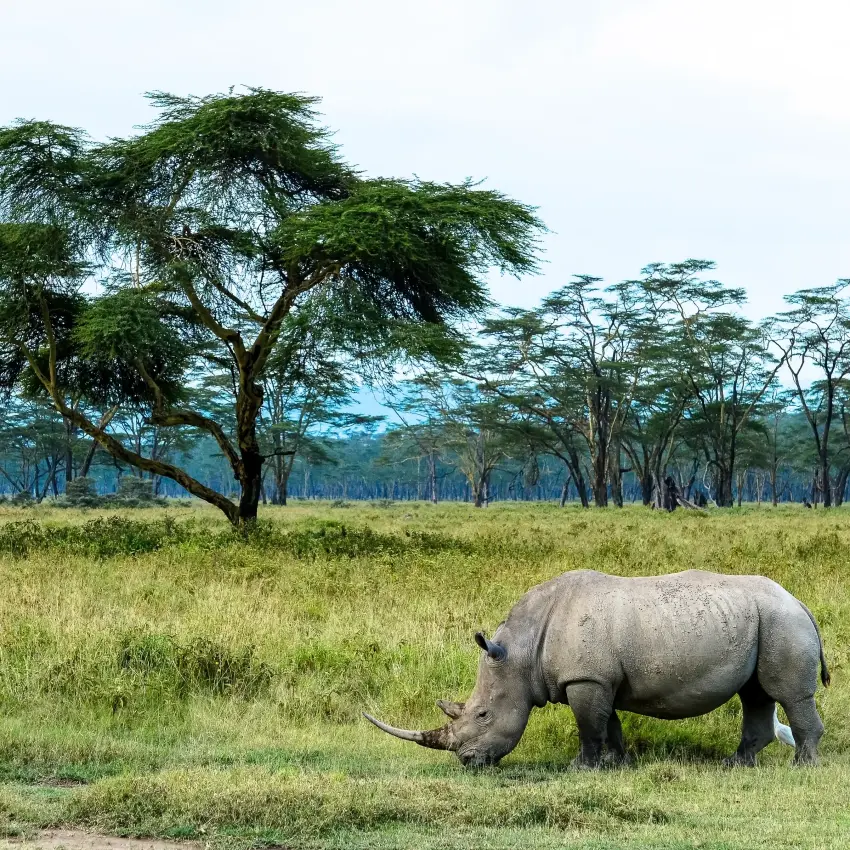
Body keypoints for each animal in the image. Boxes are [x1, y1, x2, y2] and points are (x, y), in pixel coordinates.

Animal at [365, 570, 830, 768]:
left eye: (482, 715)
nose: (468, 762)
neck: (521, 651)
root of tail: (799, 601)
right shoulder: (599, 678)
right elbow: (610, 723)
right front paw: (617, 764)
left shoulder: (585, 678)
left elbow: (589, 726)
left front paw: (581, 768)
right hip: (765, 621)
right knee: (755, 694)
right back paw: (736, 764)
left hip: (782, 622)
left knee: (787, 695)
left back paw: (802, 767)